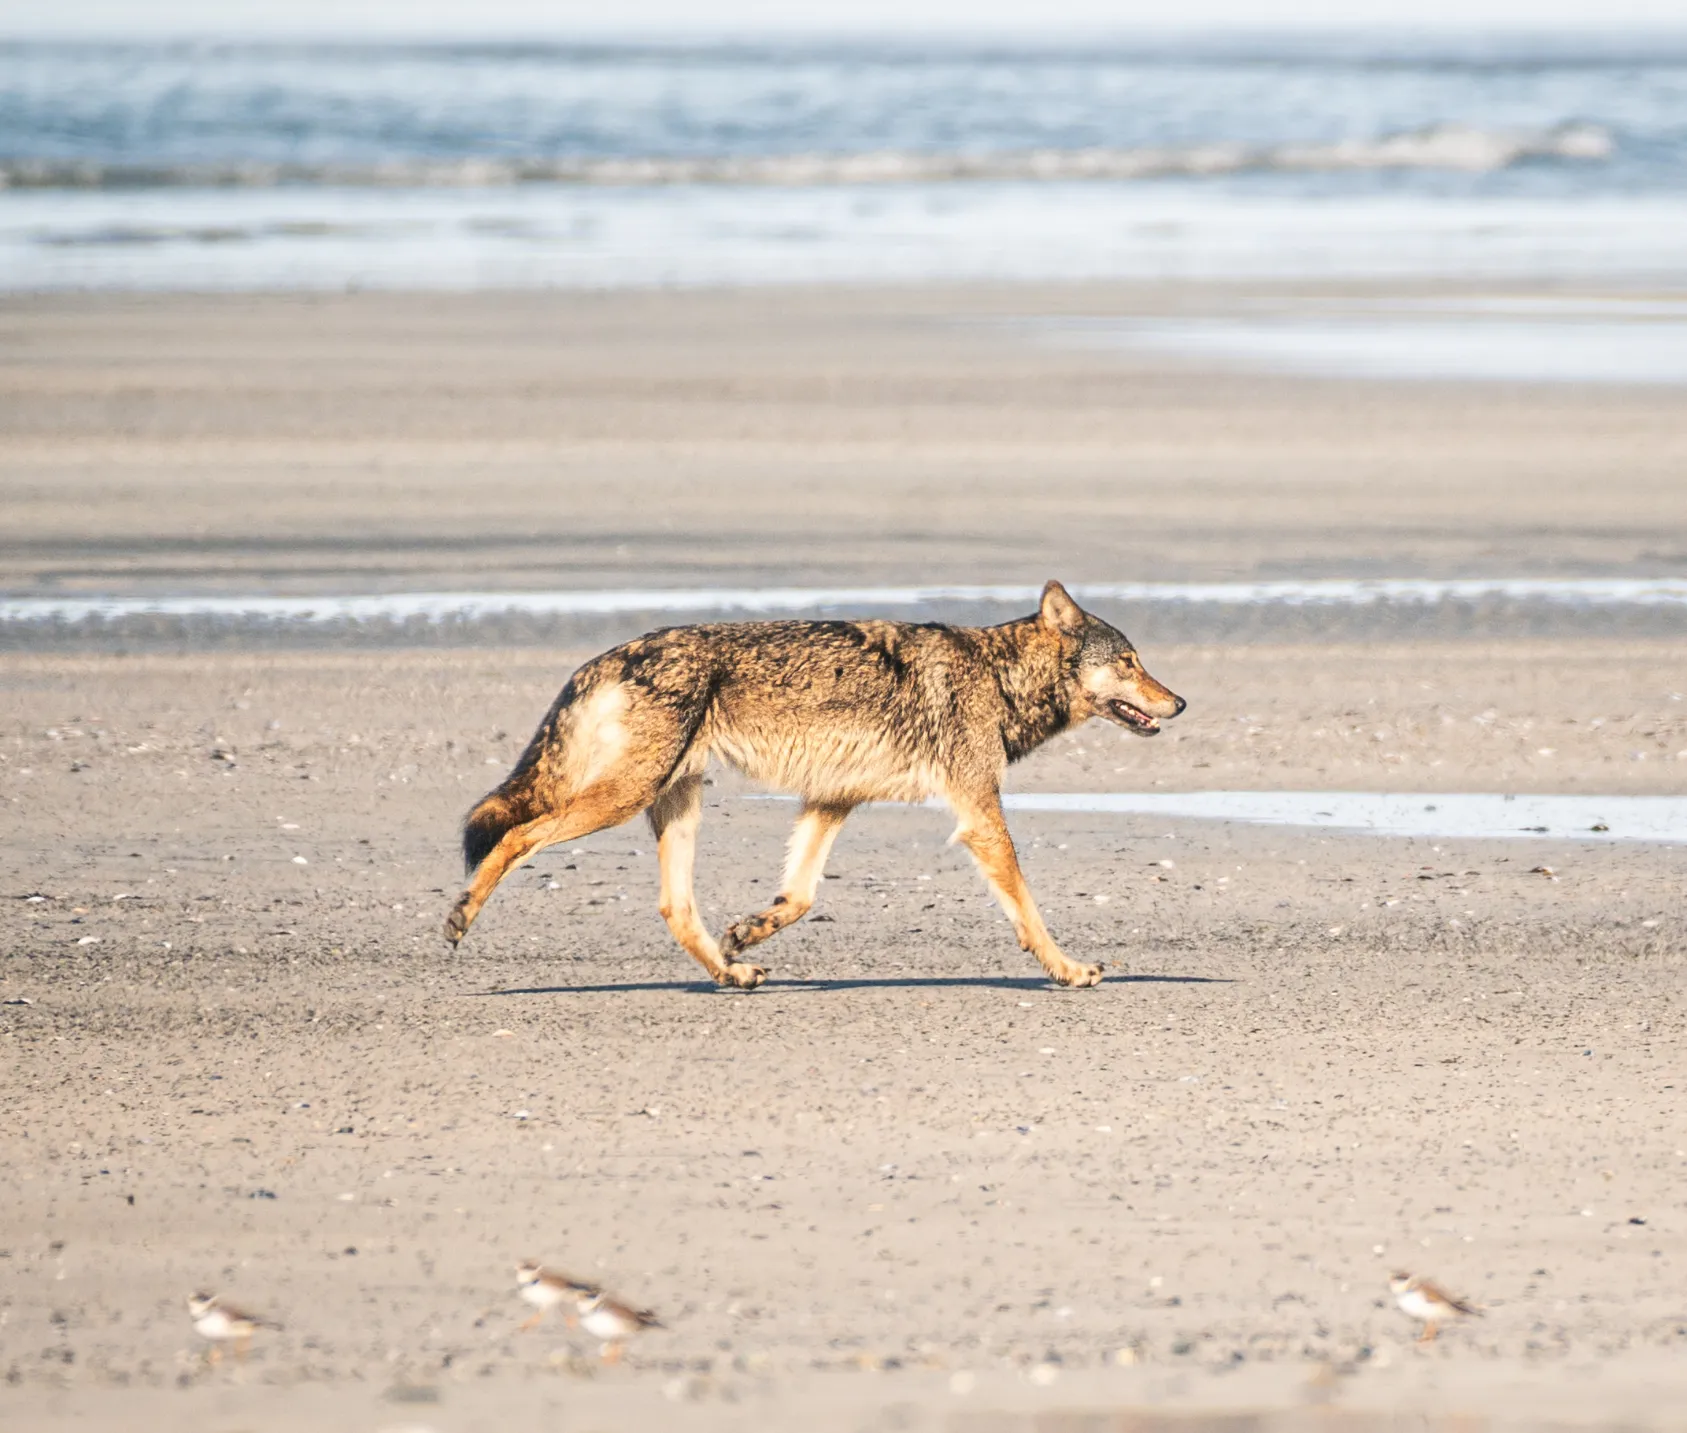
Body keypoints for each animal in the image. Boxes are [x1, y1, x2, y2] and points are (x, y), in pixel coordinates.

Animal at [444, 581, 1184, 988]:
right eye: (1129, 661)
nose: (1179, 702)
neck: (997, 675)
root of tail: (604, 657)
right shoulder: (978, 815)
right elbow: (1029, 908)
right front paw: (1068, 969)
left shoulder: (832, 800)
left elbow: (798, 896)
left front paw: (749, 931)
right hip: (621, 798)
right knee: (513, 836)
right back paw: (461, 915)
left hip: (674, 805)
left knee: (675, 908)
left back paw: (731, 973)